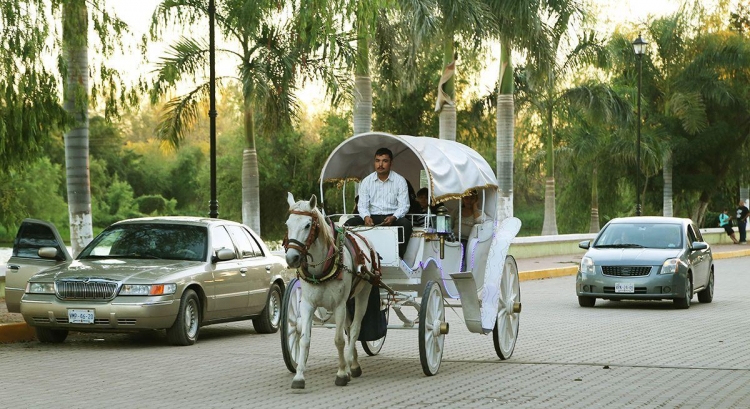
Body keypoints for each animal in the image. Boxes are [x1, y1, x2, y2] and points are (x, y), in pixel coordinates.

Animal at [282, 193, 376, 388]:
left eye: (307, 225)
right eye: (287, 224)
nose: (292, 258)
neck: (322, 268)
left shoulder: (338, 305)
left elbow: (339, 340)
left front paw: (341, 373)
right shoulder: (307, 304)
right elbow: (304, 339)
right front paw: (299, 376)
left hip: (364, 292)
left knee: (354, 329)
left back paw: (350, 365)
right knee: (348, 327)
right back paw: (352, 363)